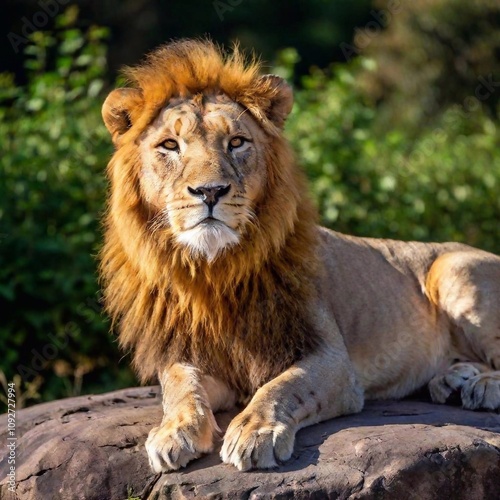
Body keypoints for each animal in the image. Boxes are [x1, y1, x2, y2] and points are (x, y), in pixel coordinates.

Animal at [100, 39, 500, 472]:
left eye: (237, 142)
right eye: (170, 146)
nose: (210, 191)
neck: (215, 269)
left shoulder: (332, 360)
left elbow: (284, 386)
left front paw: (255, 431)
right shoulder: (192, 355)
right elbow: (179, 386)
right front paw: (174, 431)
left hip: (452, 268)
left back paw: (482, 386)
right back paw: (453, 380)